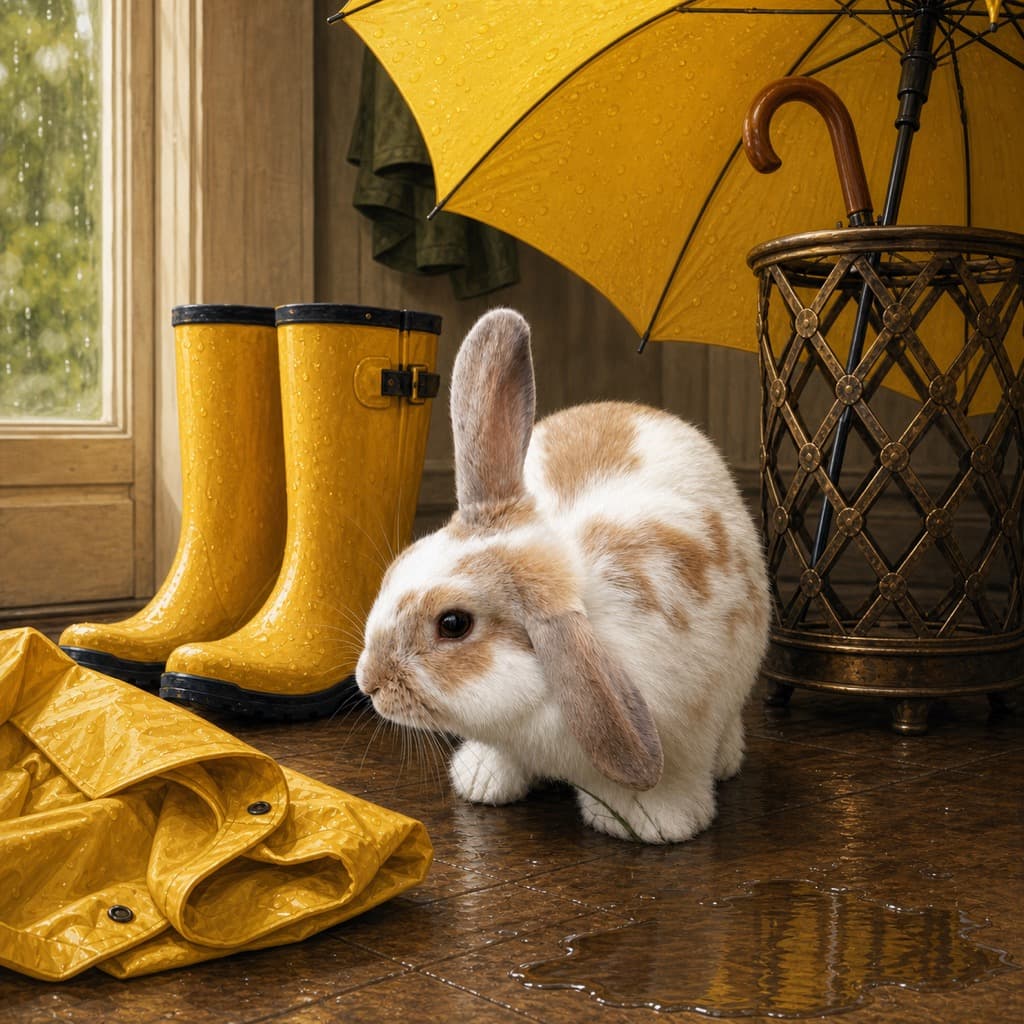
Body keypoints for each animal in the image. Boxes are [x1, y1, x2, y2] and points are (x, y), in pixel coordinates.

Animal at [355, 308, 771, 843]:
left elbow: (669, 785)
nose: (368, 682)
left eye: (453, 624)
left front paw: (656, 824)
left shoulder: (685, 732)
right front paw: (483, 779)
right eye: (401, 564)